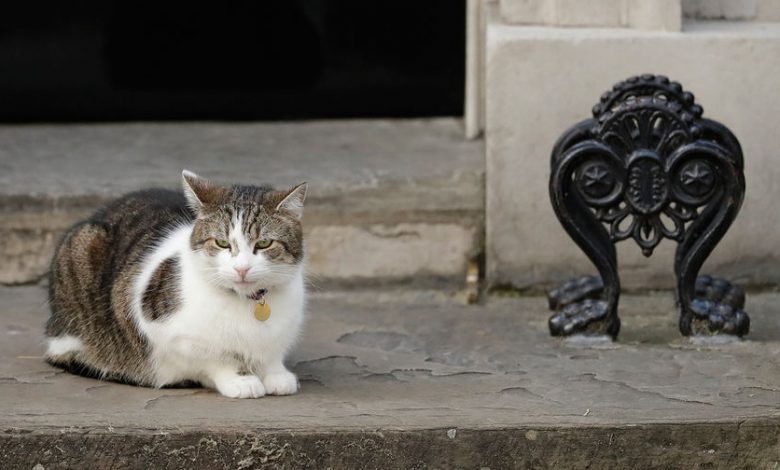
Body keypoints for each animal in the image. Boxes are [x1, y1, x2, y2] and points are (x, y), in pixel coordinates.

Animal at [44, 171, 308, 398]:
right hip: (81, 248)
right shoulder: (167, 333)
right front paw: (240, 379)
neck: (248, 302)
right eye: (222, 243)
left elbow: (271, 354)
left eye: (263, 243)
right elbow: (216, 358)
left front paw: (276, 374)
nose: (242, 268)